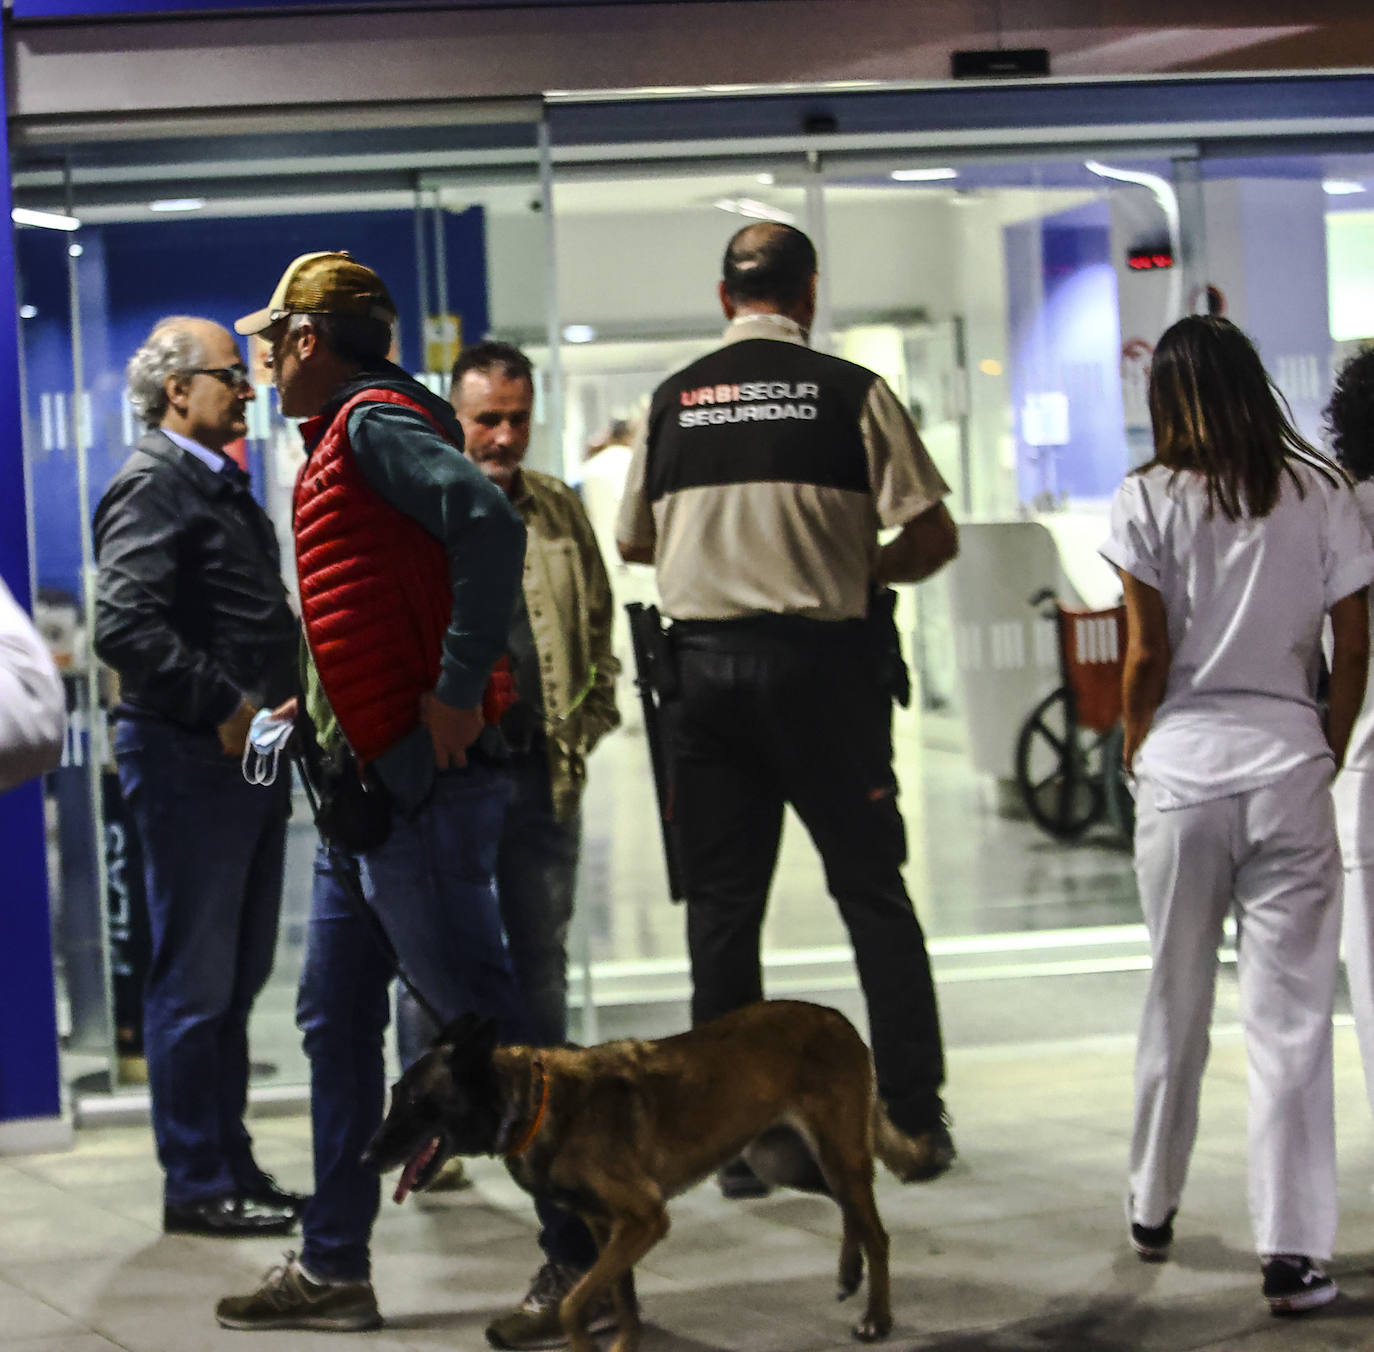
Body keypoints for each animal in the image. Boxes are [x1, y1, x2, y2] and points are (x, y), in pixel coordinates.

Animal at [365, 1000, 939, 1346]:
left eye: (415, 1101)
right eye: (393, 1095)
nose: (365, 1159)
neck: (534, 1102)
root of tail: (837, 1018)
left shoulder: (643, 1220)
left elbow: (574, 1304)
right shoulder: (608, 1228)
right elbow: (621, 1299)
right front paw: (626, 1342)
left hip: (836, 1155)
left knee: (877, 1231)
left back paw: (877, 1318)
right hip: (784, 1159)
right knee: (850, 1209)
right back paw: (848, 1273)